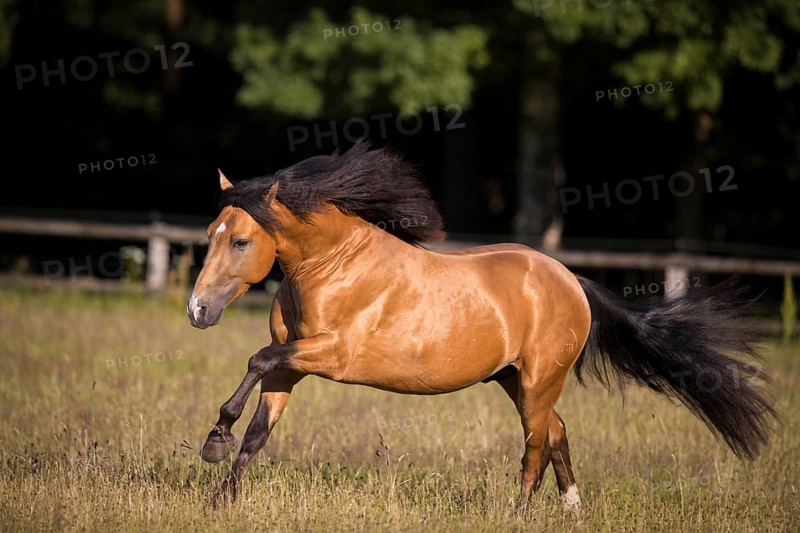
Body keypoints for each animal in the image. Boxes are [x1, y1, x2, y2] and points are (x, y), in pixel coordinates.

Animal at [187, 142, 776, 508]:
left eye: (241, 240)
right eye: (212, 231)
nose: (198, 310)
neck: (335, 266)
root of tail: (572, 282)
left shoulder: (332, 356)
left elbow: (255, 361)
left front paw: (214, 439)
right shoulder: (294, 364)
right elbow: (258, 431)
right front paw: (221, 494)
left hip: (539, 380)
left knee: (536, 444)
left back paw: (519, 513)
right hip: (515, 380)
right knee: (557, 434)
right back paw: (572, 510)